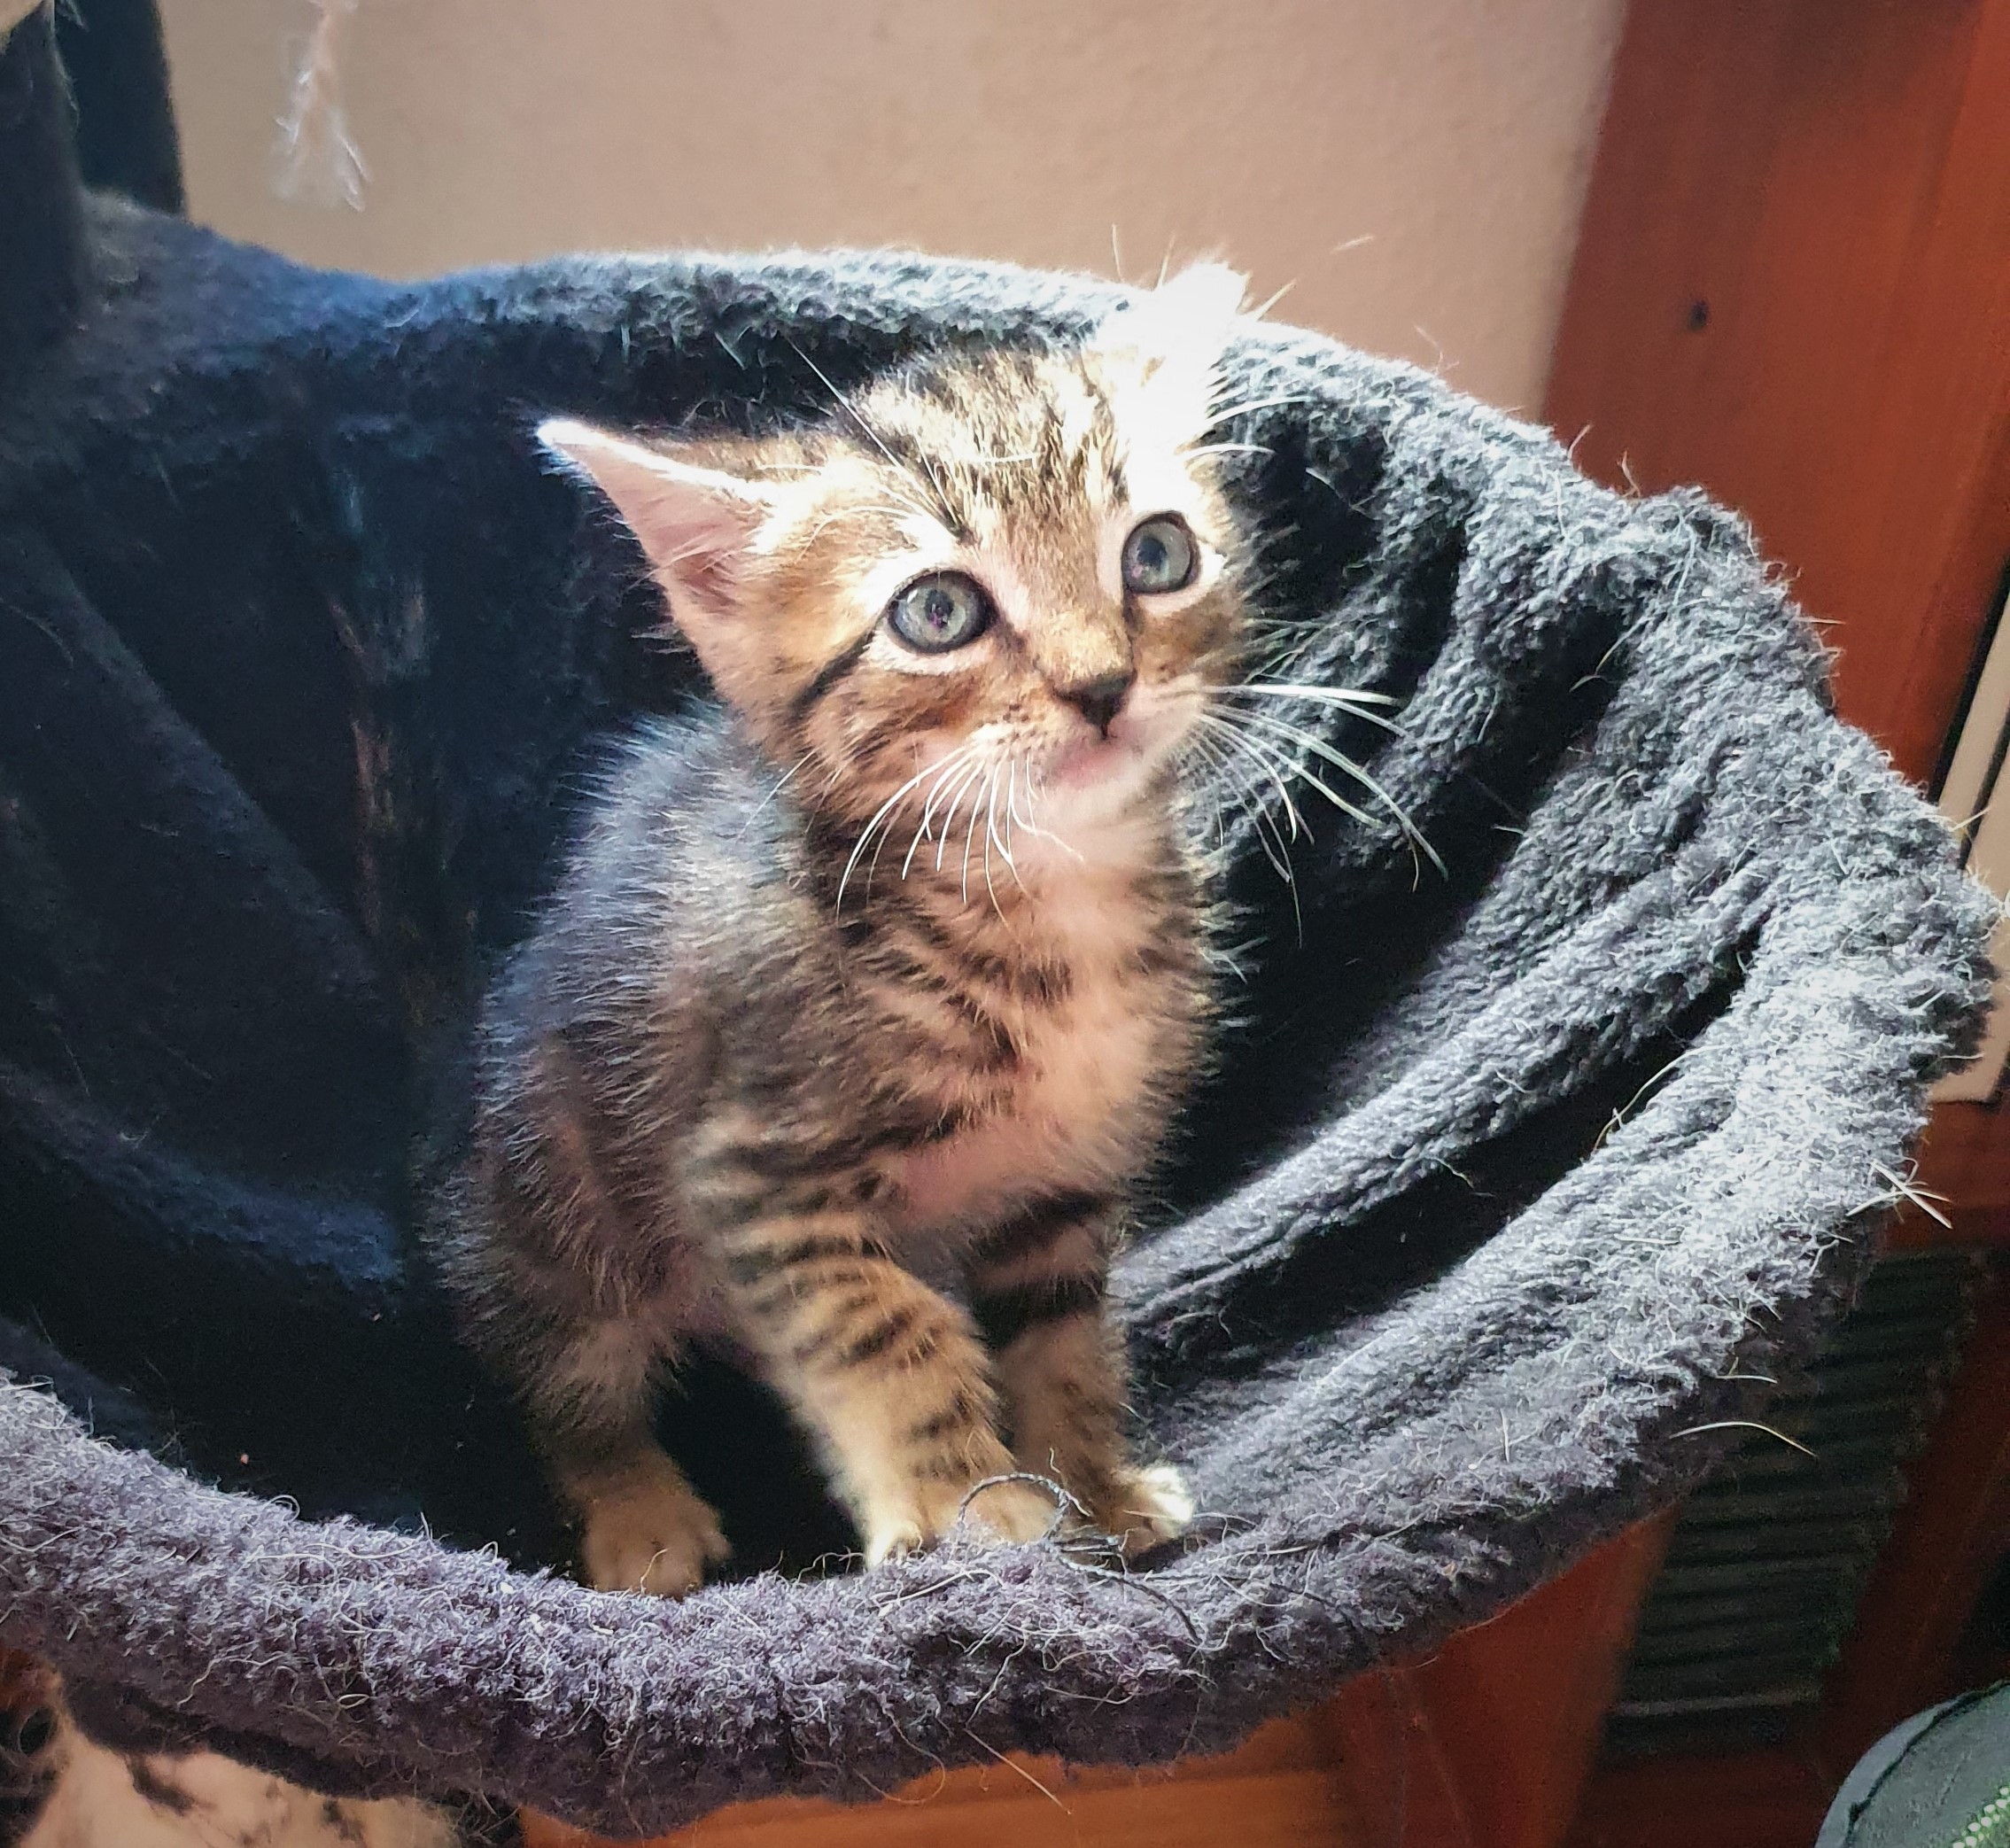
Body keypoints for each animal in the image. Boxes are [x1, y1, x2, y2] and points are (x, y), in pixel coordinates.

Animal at [431, 264, 1254, 1596]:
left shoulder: (1063, 1183)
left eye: (1158, 552)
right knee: (561, 1373)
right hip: (557, 1194)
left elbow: (1065, 1340)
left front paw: (1092, 1481)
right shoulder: (754, 1167)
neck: (1047, 890)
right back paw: (638, 1510)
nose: (1101, 686)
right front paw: (974, 1506)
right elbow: (884, 1326)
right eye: (939, 611)